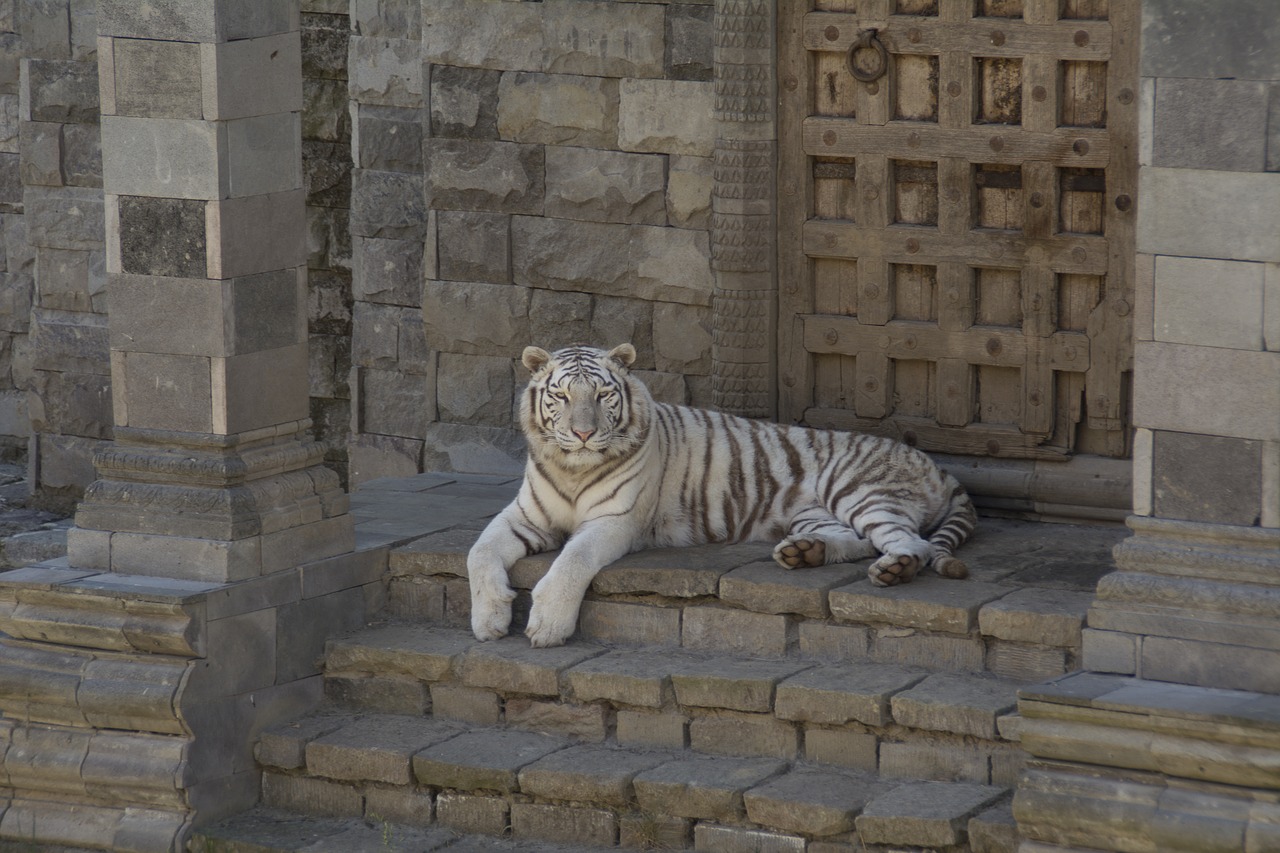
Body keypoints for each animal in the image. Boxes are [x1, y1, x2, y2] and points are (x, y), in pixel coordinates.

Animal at [471, 340, 977, 645]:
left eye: (601, 396)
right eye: (560, 397)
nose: (581, 434)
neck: (572, 468)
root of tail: (935, 464)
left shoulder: (614, 522)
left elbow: (572, 560)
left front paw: (547, 626)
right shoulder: (526, 516)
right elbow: (479, 553)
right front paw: (488, 621)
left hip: (856, 489)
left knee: (910, 543)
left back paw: (893, 570)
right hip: (814, 512)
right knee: (859, 540)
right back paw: (803, 553)